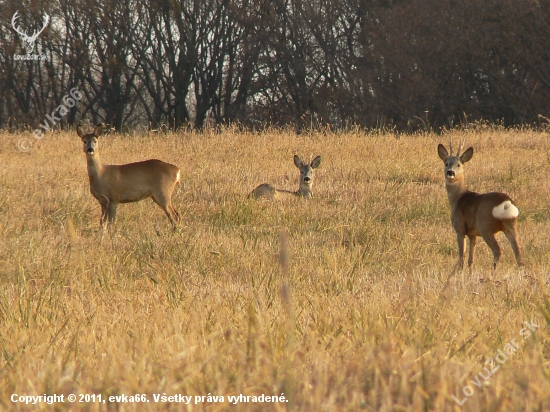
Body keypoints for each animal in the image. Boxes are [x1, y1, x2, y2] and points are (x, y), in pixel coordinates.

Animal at [440, 140, 528, 272]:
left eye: (459, 165)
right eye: (446, 163)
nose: (450, 172)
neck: (458, 197)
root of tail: (506, 203)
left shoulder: (460, 227)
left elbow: (462, 255)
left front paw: (458, 272)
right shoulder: (472, 234)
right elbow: (471, 258)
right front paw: (470, 272)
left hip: (485, 226)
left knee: (498, 251)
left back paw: (492, 272)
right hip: (511, 224)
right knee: (518, 253)